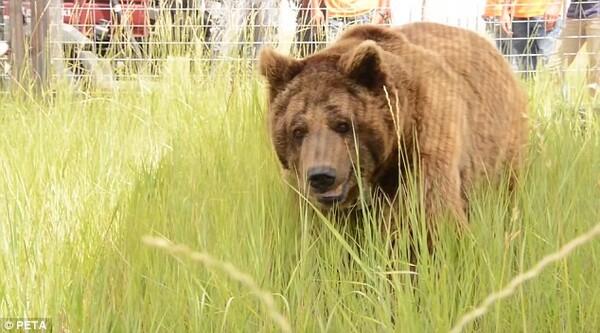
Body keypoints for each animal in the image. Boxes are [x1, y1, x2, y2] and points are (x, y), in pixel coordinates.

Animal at [255, 22, 528, 232]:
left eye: (343, 124)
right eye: (298, 129)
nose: (322, 175)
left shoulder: (422, 146)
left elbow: (433, 220)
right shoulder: (305, 188)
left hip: (502, 147)